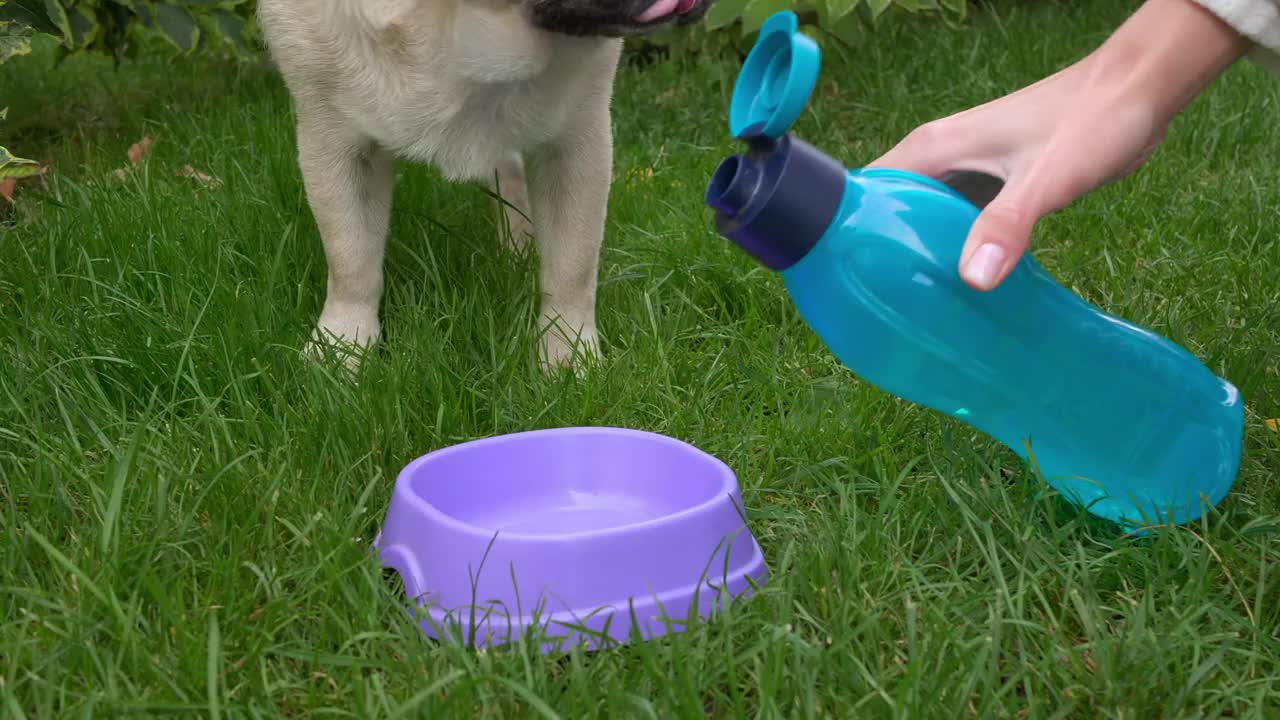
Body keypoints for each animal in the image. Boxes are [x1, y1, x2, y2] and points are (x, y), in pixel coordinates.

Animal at [257, 0, 711, 368]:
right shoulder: (334, 139)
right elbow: (351, 259)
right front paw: (342, 349)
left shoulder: (578, 138)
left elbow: (573, 265)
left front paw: (568, 359)